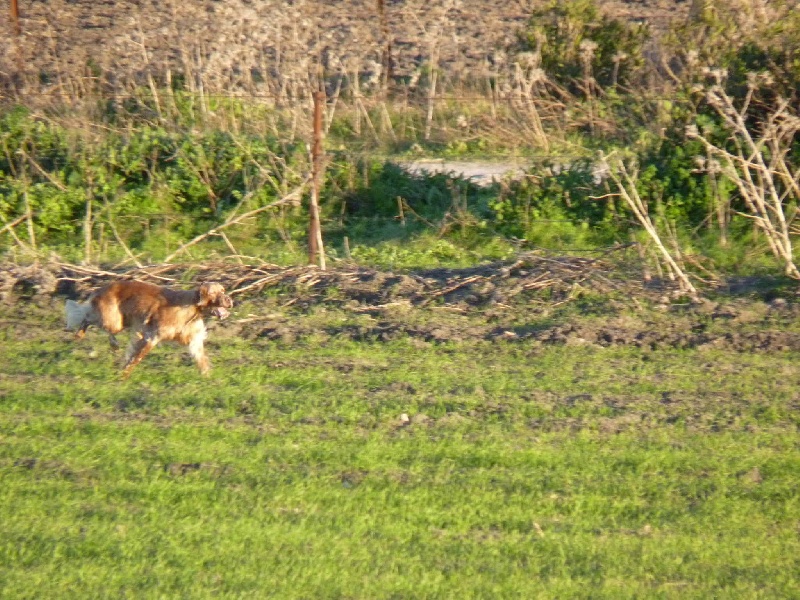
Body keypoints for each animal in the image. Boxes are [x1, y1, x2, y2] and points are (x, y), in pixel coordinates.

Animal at [64, 280, 233, 376]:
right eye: (213, 293)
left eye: (223, 291)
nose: (229, 300)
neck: (192, 310)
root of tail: (100, 288)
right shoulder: (151, 337)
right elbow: (135, 358)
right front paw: (123, 375)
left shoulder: (195, 342)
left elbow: (203, 363)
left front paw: (210, 379)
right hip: (113, 321)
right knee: (87, 318)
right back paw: (82, 336)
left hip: (120, 321)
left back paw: (111, 344)